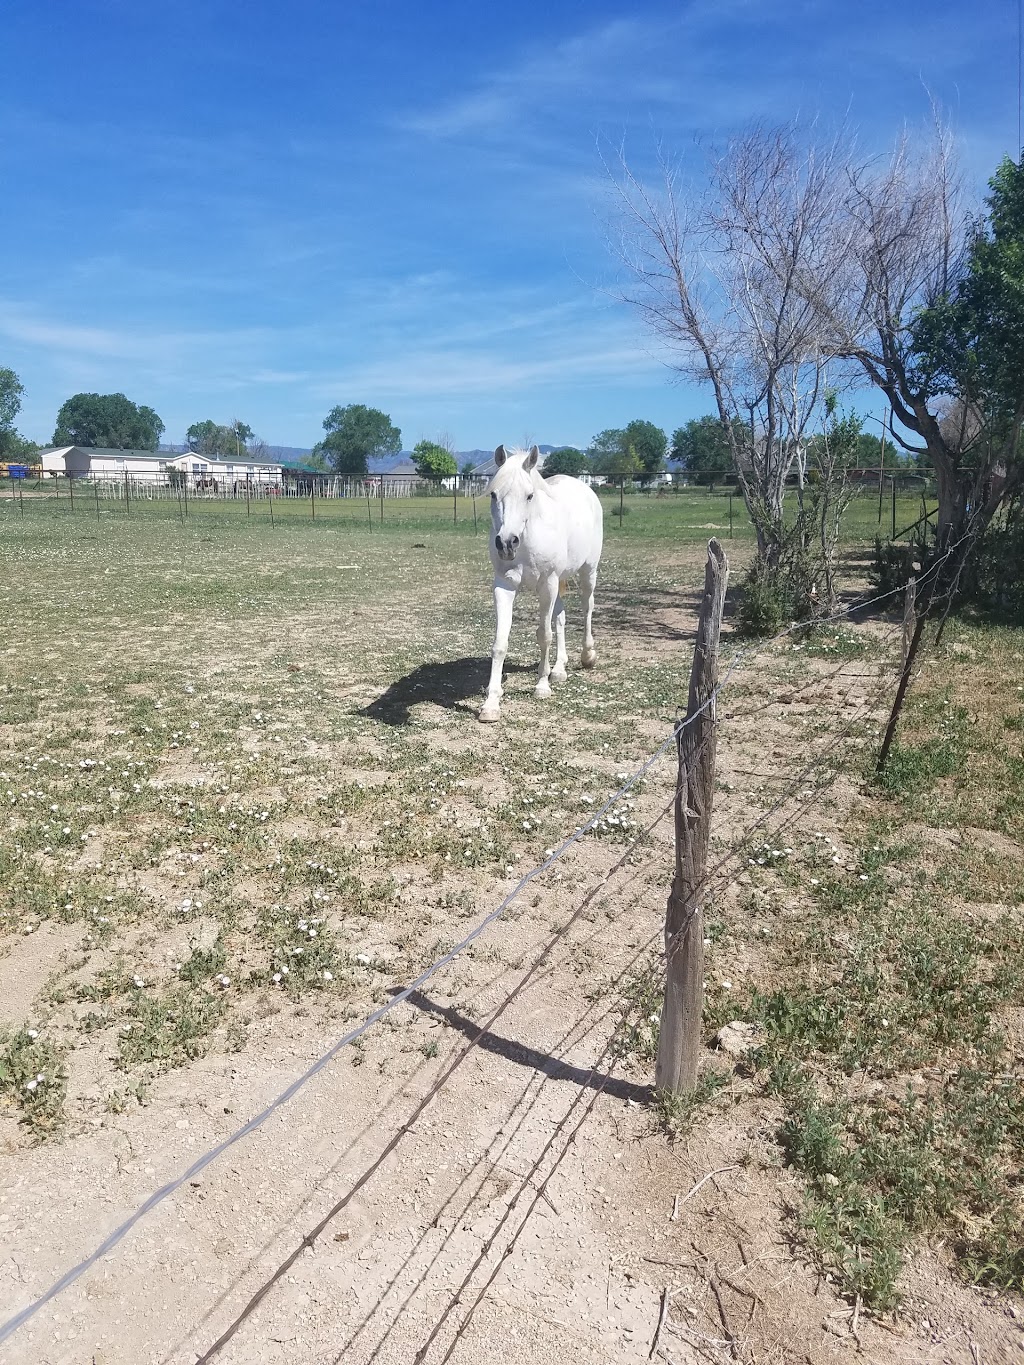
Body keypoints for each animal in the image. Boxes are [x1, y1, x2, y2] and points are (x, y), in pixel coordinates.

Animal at [480, 447, 600, 726]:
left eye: (529, 495)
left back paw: (587, 656)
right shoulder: (504, 586)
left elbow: (544, 635)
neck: (528, 536)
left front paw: (542, 686)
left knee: (587, 608)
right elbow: (500, 643)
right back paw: (559, 669)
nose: (507, 543)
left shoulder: (548, 584)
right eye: (493, 494)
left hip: (587, 571)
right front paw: (491, 703)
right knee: (561, 617)